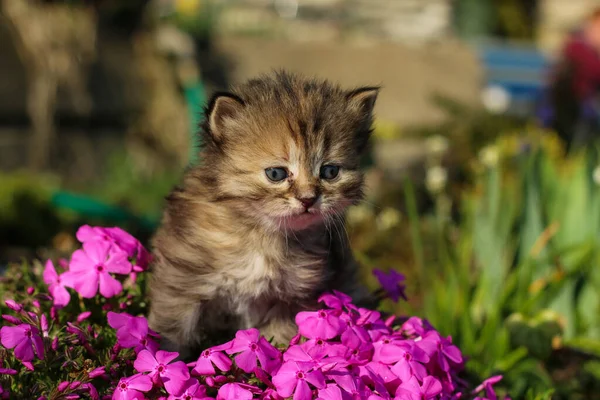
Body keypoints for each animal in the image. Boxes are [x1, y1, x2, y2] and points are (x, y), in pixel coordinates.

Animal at [147, 70, 378, 358]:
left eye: (330, 172)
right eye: (276, 173)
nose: (308, 199)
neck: (262, 233)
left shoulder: (291, 297)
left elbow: (280, 339)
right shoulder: (181, 283)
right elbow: (171, 334)